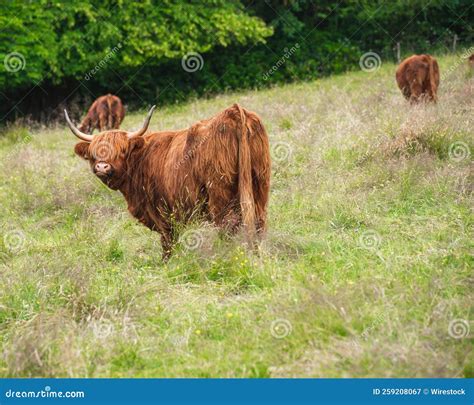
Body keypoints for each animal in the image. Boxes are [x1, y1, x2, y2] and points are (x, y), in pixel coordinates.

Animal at [64, 102, 270, 258]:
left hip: (220, 196)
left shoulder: (162, 212)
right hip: (259, 187)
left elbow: (168, 243)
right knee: (258, 224)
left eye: (121, 151)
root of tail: (233, 111)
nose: (102, 167)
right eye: (94, 153)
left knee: (228, 228)